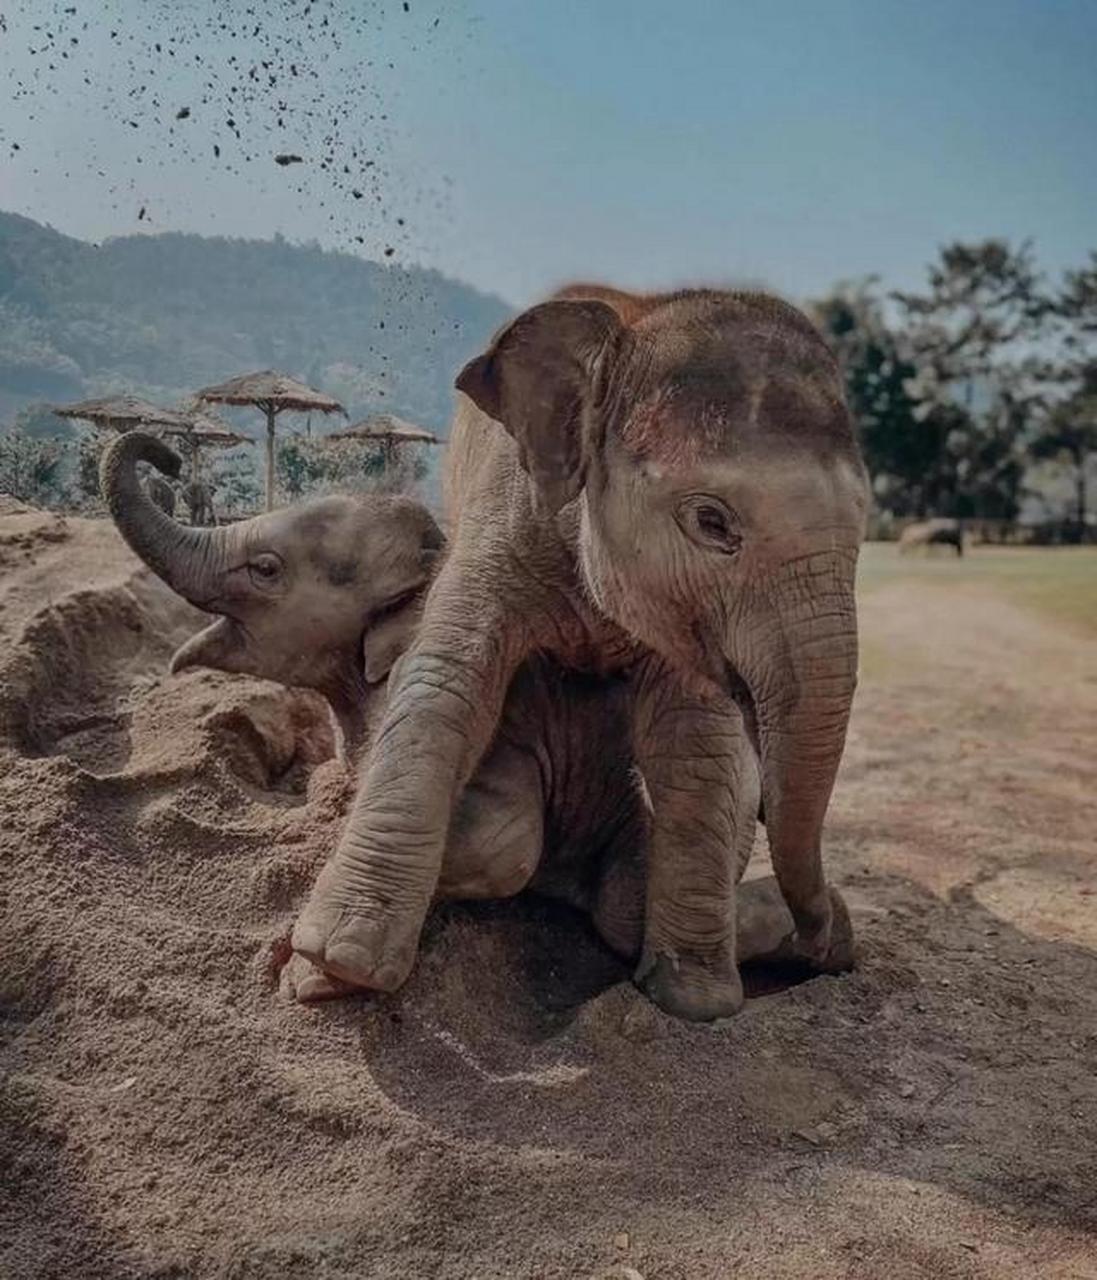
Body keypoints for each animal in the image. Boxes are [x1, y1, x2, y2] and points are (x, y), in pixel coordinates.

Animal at [98, 430, 848, 1004]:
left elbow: (505, 840)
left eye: (264, 568)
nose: (167, 459)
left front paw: (301, 970)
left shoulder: (513, 717)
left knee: (622, 912)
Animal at [292, 284, 869, 1022]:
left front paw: (693, 1001)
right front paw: (331, 969)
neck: (632, 325)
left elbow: (694, 744)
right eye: (712, 522)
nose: (818, 937)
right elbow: (446, 686)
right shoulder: (504, 518)